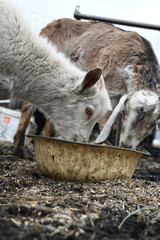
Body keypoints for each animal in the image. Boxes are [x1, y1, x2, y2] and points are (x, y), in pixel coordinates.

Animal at [14, 18, 160, 154]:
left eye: (153, 124)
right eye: (126, 112)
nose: (126, 146)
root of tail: (50, 25)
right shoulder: (111, 91)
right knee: (28, 106)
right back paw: (19, 148)